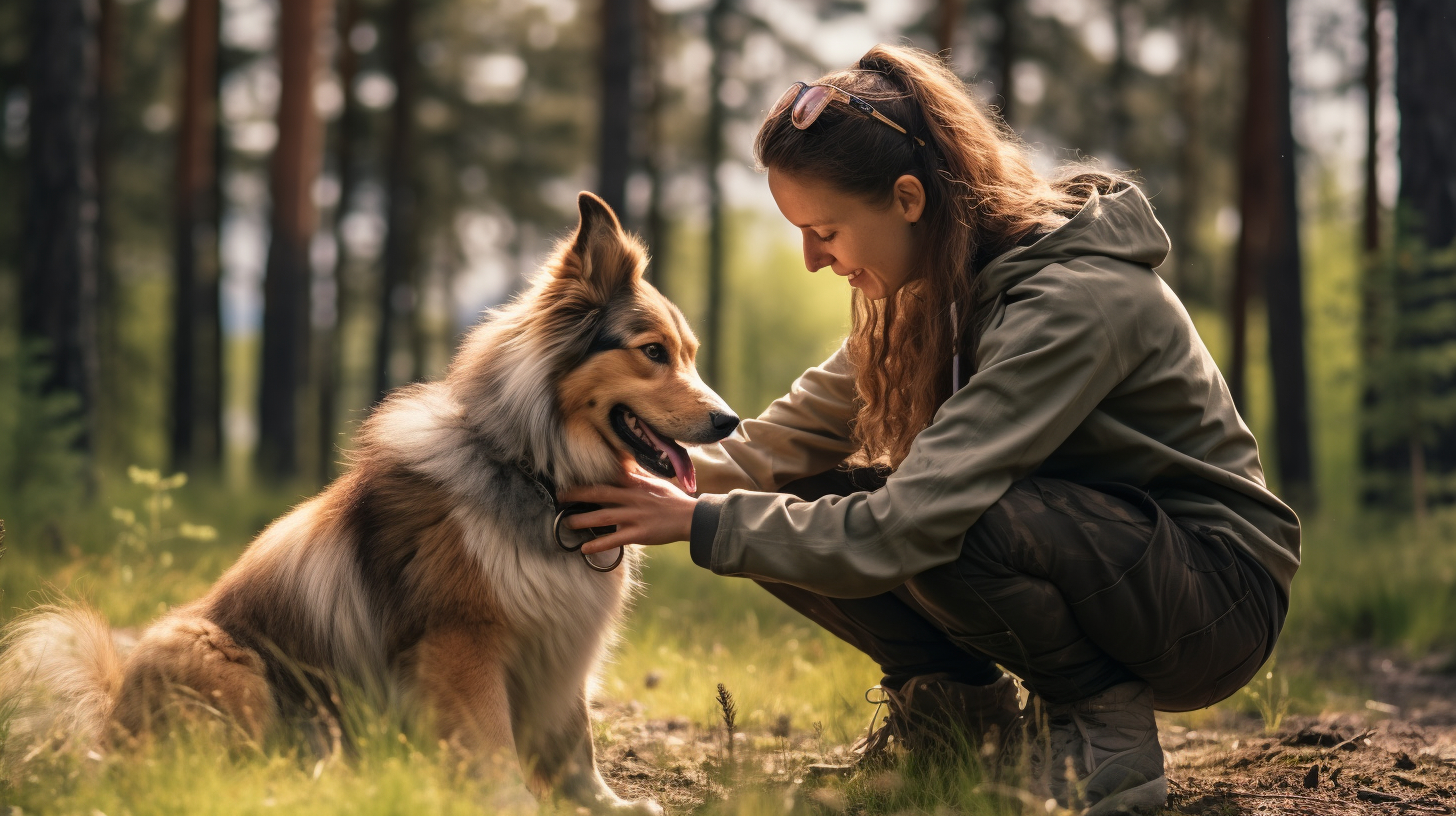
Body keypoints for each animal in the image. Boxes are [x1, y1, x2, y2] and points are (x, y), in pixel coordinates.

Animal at [0, 193, 739, 810]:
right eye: (652, 353)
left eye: (689, 354)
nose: (730, 421)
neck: (533, 471)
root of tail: (107, 723)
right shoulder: (461, 643)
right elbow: (493, 748)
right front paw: (512, 805)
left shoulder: (561, 645)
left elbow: (574, 742)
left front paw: (607, 804)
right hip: (219, 656)